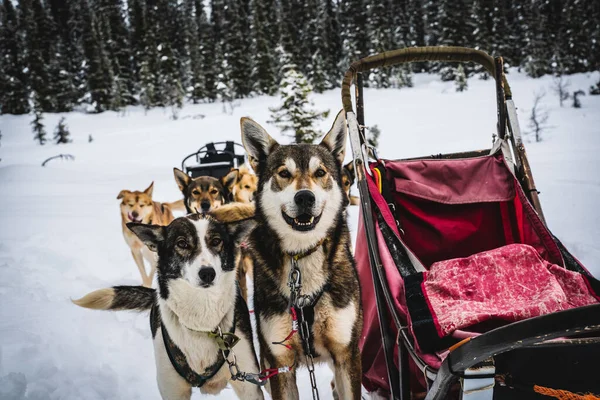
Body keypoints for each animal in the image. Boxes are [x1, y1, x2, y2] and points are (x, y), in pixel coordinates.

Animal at [72, 206, 262, 400]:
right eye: (182, 243)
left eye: (216, 241)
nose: (208, 273)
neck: (201, 321)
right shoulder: (172, 388)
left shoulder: (249, 384)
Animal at [241, 110, 364, 400]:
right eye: (284, 173)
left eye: (320, 172)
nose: (305, 197)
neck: (302, 258)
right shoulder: (280, 363)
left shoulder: (347, 354)